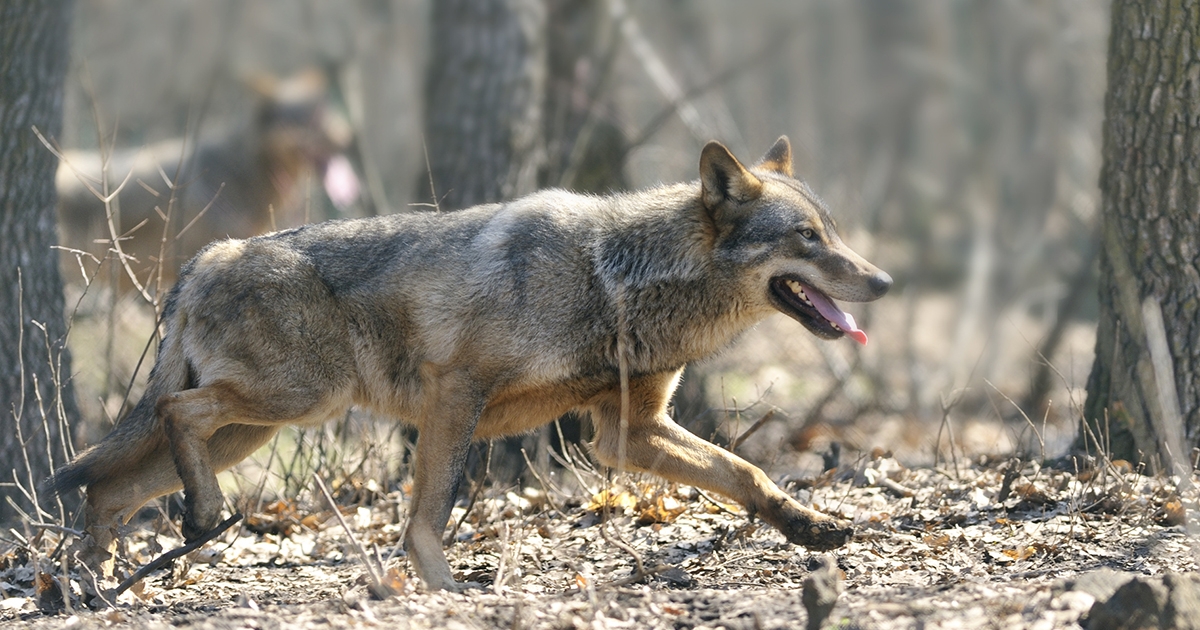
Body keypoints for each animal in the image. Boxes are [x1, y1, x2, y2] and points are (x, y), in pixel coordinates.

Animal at [49, 136, 892, 590]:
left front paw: (812, 528)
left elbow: (745, 472)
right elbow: (429, 512)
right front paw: (444, 591)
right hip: (294, 403)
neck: (614, 277)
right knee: (169, 415)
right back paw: (177, 527)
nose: (884, 281)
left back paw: (87, 583)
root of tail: (207, 258)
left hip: (255, 428)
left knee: (109, 487)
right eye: (807, 237)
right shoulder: (455, 398)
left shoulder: (626, 434)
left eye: (832, 232)